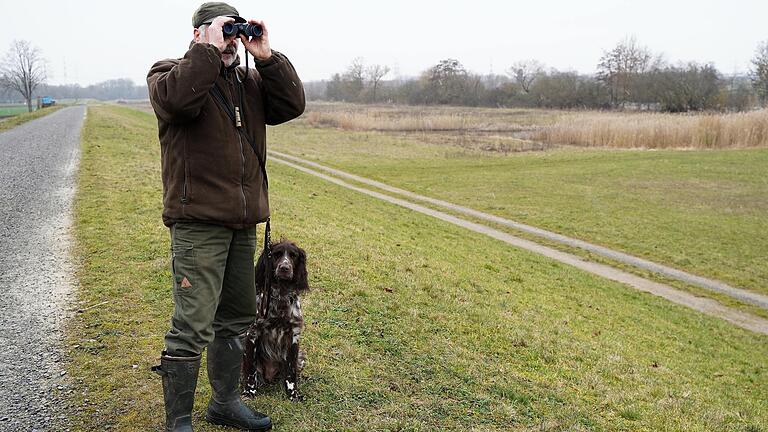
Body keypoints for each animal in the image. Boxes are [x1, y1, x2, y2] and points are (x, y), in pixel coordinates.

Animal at [243, 240, 308, 402]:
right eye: (276, 254)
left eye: (293, 256)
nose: (285, 268)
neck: (281, 296)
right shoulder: (252, 333)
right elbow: (251, 371)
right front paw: (249, 392)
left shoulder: (294, 336)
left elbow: (291, 374)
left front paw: (293, 395)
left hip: (301, 357)